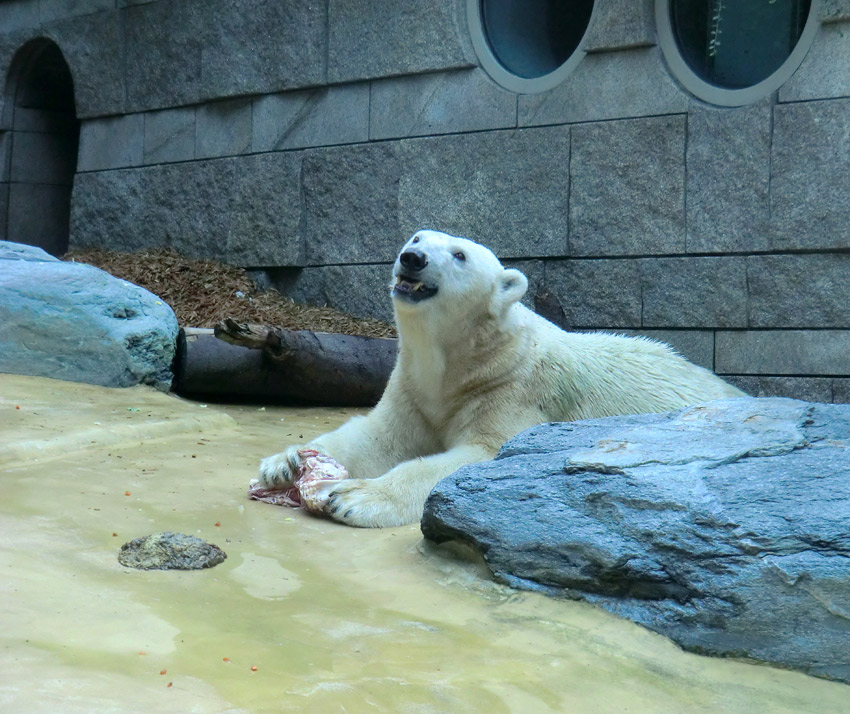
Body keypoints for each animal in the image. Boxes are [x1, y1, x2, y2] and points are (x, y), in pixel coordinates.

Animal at [256, 231, 744, 524]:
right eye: (417, 237)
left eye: (459, 255)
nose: (412, 258)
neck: (465, 361)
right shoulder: (414, 387)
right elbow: (379, 436)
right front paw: (285, 462)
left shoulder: (513, 389)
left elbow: (483, 455)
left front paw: (352, 495)